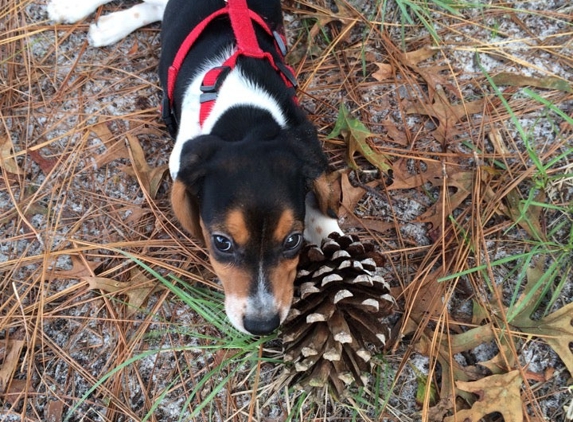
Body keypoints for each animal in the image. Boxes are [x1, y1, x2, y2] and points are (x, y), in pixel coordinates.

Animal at [48, 0, 340, 336]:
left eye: (293, 240)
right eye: (221, 243)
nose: (262, 325)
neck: (246, 115)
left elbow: (322, 216)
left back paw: (107, 27)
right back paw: (74, 11)